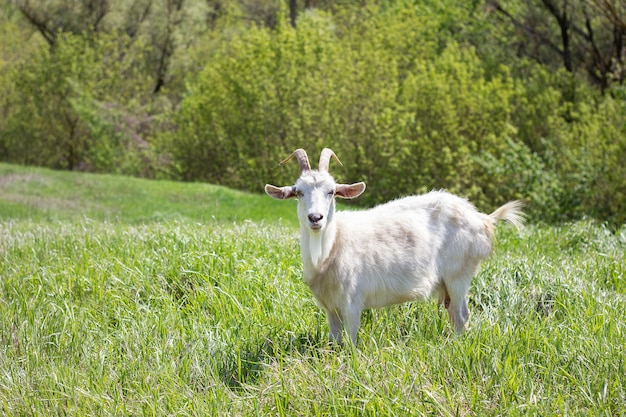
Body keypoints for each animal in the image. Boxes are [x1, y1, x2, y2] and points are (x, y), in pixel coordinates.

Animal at [264, 148, 520, 342]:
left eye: (332, 191)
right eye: (298, 192)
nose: (315, 218)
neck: (332, 247)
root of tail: (482, 219)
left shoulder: (352, 301)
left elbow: (351, 340)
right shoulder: (330, 307)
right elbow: (335, 341)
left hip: (459, 273)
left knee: (462, 314)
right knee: (453, 313)